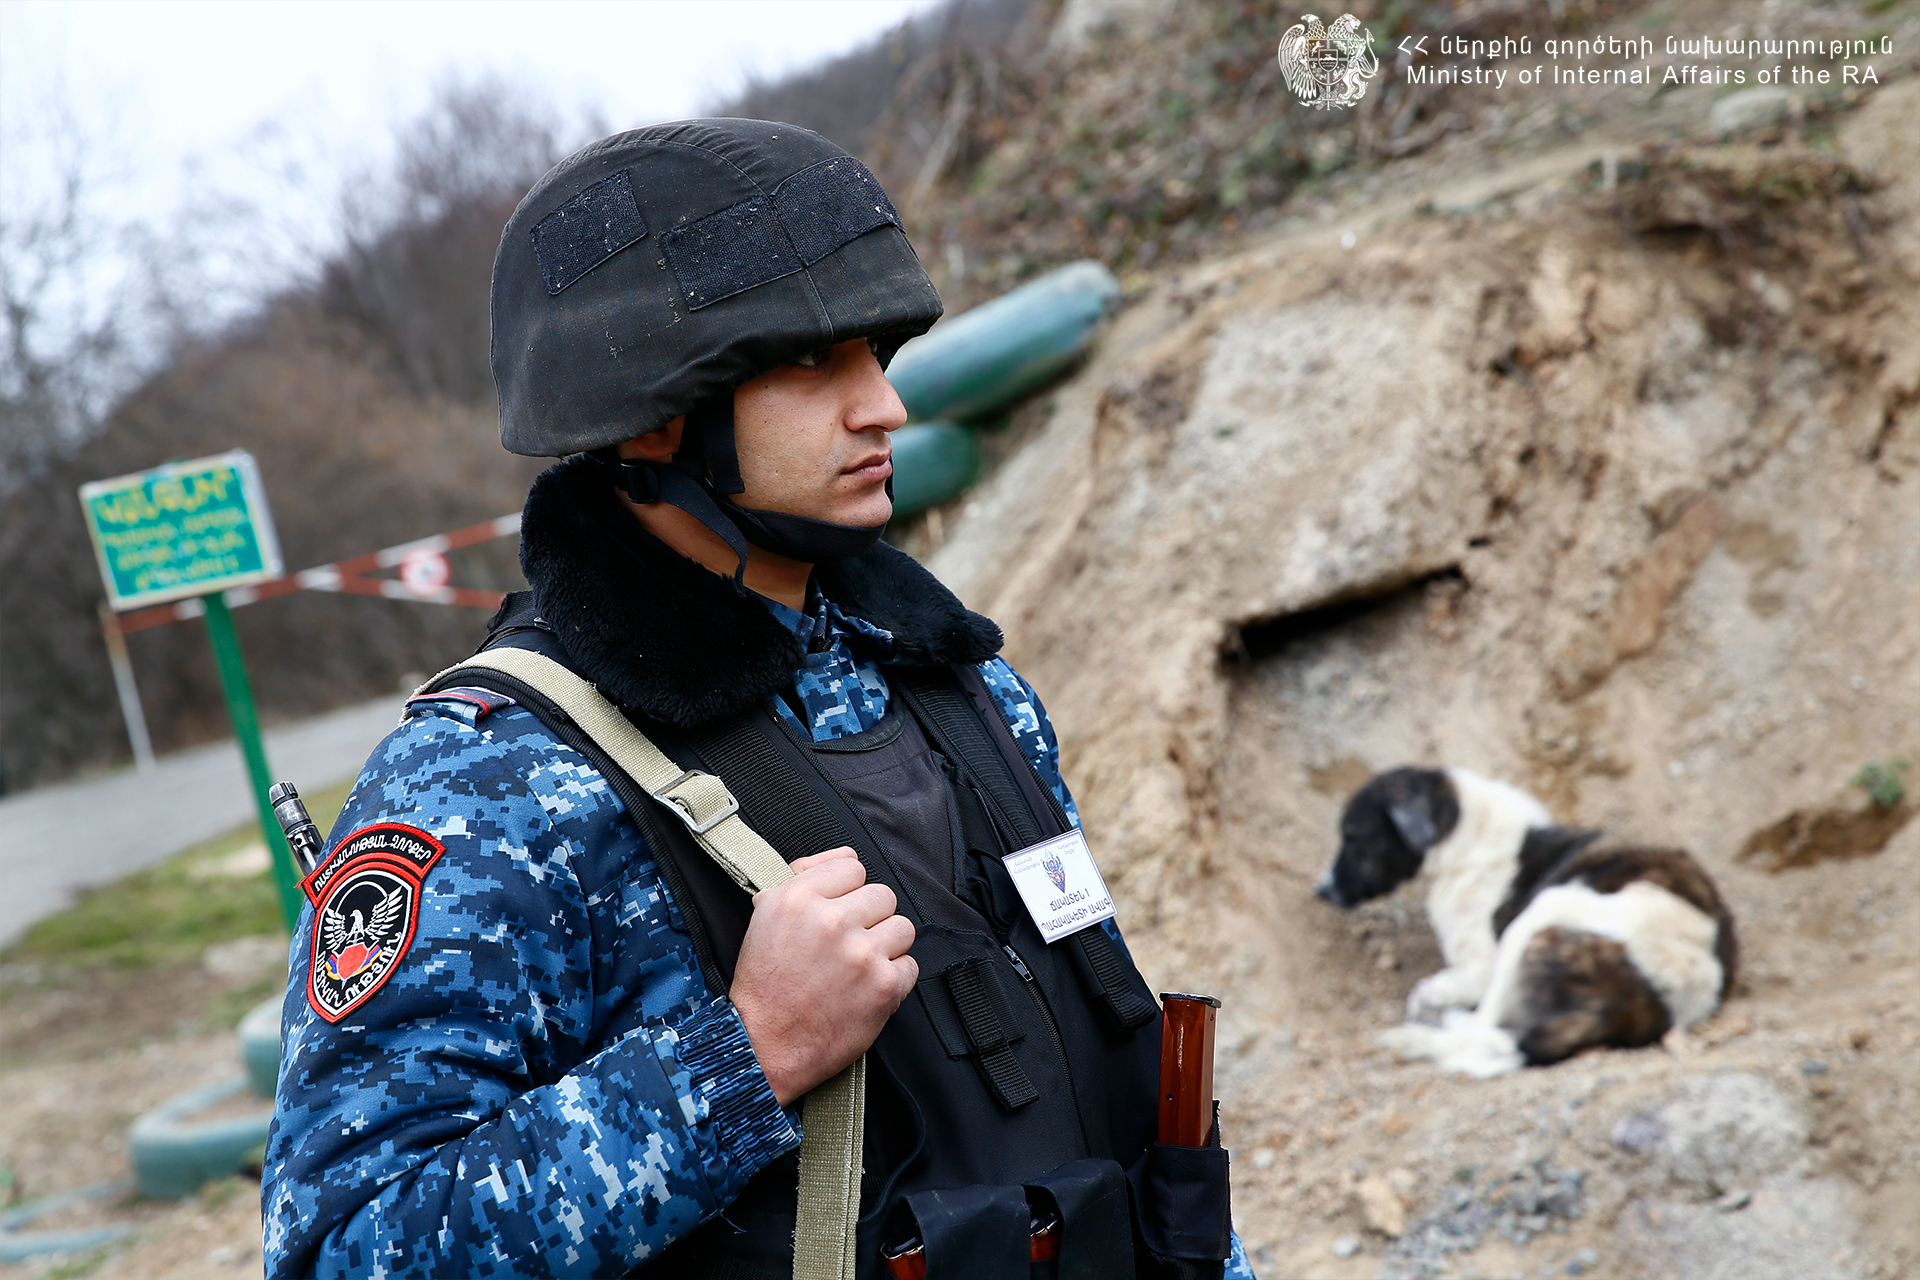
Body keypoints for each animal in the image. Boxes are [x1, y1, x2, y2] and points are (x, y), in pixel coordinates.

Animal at [1314, 766, 1737, 1077]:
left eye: (1352, 837)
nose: (1320, 891)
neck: (1465, 840)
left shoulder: (1480, 967)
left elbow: (1423, 990)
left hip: (1544, 911)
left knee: (1483, 1024)